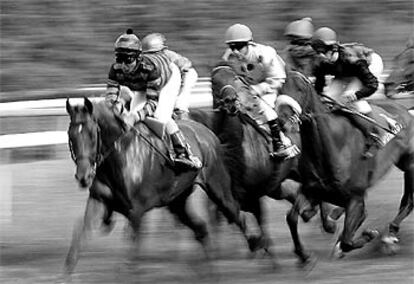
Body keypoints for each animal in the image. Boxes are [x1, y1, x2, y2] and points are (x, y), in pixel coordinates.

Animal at [64, 97, 252, 276]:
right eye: (71, 135)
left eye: (91, 134)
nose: (83, 177)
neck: (120, 157)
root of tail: (209, 134)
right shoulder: (98, 201)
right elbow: (78, 240)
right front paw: (65, 275)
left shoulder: (136, 211)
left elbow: (131, 254)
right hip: (177, 202)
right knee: (201, 229)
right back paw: (210, 271)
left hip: (218, 187)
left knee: (236, 214)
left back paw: (256, 246)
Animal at [189, 62, 338, 258]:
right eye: (214, 82)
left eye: (234, 78)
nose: (231, 102)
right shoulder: (240, 195)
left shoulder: (253, 195)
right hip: (277, 184)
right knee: (295, 195)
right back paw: (311, 214)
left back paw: (326, 222)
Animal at [278, 70, 414, 262]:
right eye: (280, 88)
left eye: (300, 89)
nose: (282, 120)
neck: (333, 145)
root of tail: (408, 112)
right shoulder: (311, 189)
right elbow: (291, 217)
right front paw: (304, 255)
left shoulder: (356, 198)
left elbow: (347, 241)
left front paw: (369, 234)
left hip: (410, 164)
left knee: (408, 201)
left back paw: (389, 235)